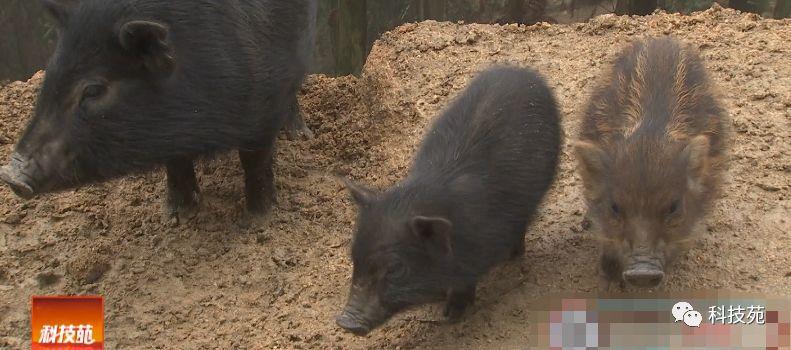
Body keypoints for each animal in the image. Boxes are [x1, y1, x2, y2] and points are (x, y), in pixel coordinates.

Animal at [0, 0, 316, 221]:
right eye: (50, 75)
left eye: (93, 90)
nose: (10, 175)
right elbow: (175, 164)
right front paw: (179, 214)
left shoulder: (264, 101)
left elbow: (255, 161)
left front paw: (259, 217)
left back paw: (300, 135)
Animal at [338, 66, 560, 336]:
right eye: (354, 258)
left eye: (395, 268)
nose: (345, 322)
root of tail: (522, 70)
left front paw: (451, 315)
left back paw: (513, 255)